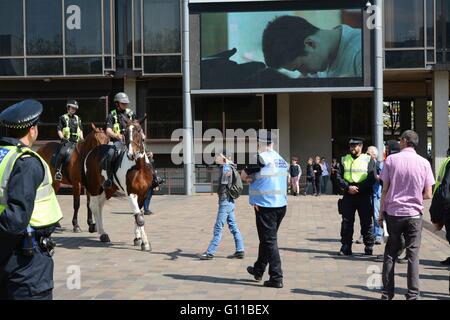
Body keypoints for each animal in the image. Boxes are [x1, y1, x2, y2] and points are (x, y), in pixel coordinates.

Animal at [83, 119, 154, 251]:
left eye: (138, 131)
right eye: (125, 132)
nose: (131, 154)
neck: (138, 167)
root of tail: (92, 152)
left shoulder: (143, 194)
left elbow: (138, 215)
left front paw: (138, 239)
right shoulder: (131, 193)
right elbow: (139, 218)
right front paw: (145, 243)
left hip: (107, 190)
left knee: (100, 206)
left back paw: (101, 232)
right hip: (94, 187)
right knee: (94, 206)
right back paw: (102, 233)